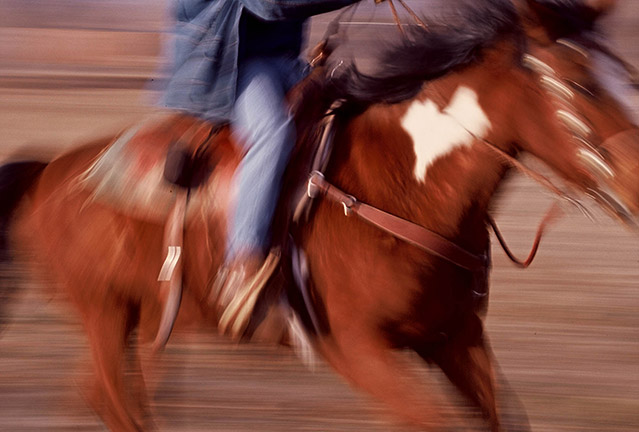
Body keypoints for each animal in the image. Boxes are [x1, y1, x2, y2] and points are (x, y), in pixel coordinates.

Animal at [1, 0, 639, 432]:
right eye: (582, 83)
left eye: (627, 75)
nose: (636, 184)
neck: (404, 185)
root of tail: (52, 170)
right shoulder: (355, 348)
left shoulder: (456, 339)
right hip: (105, 312)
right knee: (113, 396)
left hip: (154, 316)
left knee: (110, 394)